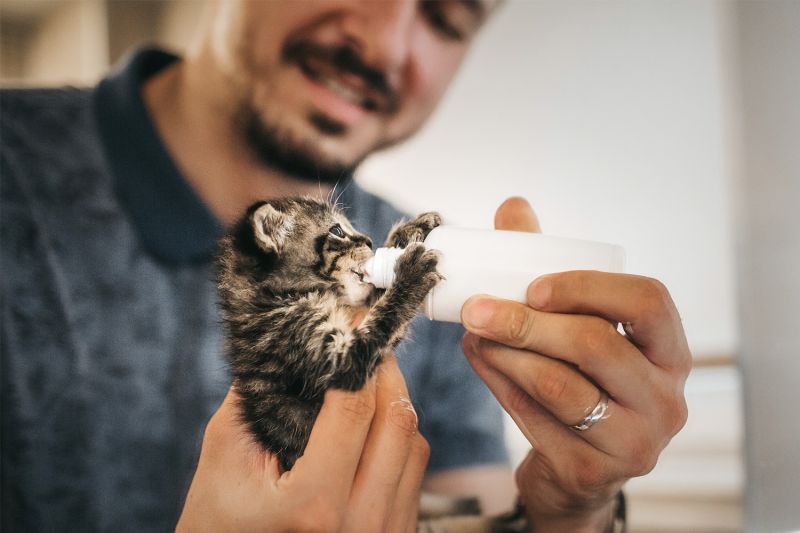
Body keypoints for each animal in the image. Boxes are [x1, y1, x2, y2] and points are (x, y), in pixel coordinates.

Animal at [216, 196, 440, 470]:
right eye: (337, 231)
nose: (369, 240)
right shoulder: (310, 345)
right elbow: (382, 321)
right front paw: (411, 274)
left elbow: (376, 296)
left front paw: (410, 232)